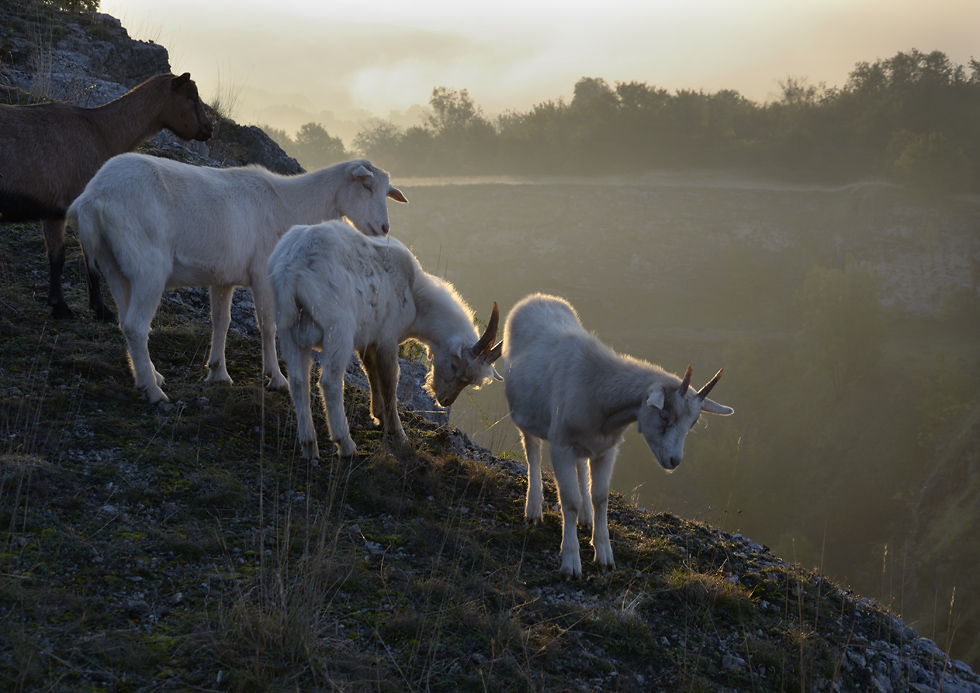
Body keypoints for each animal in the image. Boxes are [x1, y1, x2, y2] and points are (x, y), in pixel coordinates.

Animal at [0, 71, 213, 320]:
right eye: (190, 98)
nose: (209, 129)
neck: (103, 131)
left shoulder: (53, 209)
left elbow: (56, 255)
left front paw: (58, 305)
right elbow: (89, 259)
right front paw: (98, 309)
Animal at [68, 154, 406, 402]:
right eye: (366, 187)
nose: (384, 228)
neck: (291, 204)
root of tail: (92, 198)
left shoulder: (222, 277)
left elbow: (222, 321)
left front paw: (218, 372)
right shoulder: (262, 273)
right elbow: (268, 325)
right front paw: (276, 377)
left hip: (116, 265)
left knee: (125, 322)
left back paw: (148, 376)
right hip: (147, 264)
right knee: (137, 326)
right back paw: (153, 391)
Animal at [266, 222, 502, 460]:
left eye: (469, 381)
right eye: (455, 365)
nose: (445, 401)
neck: (415, 295)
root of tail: (291, 268)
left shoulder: (370, 337)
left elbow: (371, 371)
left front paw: (378, 415)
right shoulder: (387, 338)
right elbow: (390, 379)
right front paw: (398, 434)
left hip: (288, 327)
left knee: (298, 381)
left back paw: (309, 446)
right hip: (338, 329)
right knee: (330, 382)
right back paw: (346, 444)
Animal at [502, 294, 732, 580]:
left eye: (694, 422)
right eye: (664, 415)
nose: (674, 460)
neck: (599, 391)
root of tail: (537, 297)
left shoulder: (606, 449)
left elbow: (600, 497)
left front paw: (604, 557)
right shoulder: (561, 446)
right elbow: (570, 501)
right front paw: (571, 563)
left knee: (581, 464)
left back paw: (586, 518)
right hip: (525, 415)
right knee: (533, 454)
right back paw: (533, 510)